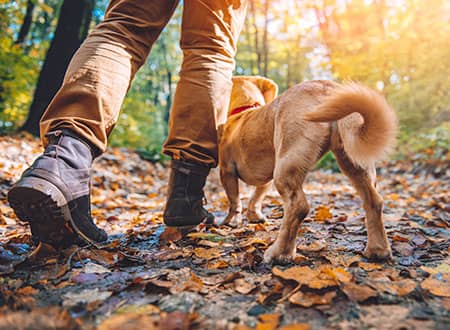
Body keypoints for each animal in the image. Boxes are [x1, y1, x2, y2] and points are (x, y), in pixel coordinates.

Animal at [218, 76, 398, 264]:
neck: (245, 111)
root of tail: (327, 88)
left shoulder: (227, 170)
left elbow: (234, 201)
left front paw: (230, 221)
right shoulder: (265, 180)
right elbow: (256, 197)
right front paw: (254, 216)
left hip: (285, 167)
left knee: (298, 207)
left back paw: (279, 253)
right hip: (354, 163)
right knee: (374, 201)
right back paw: (378, 250)